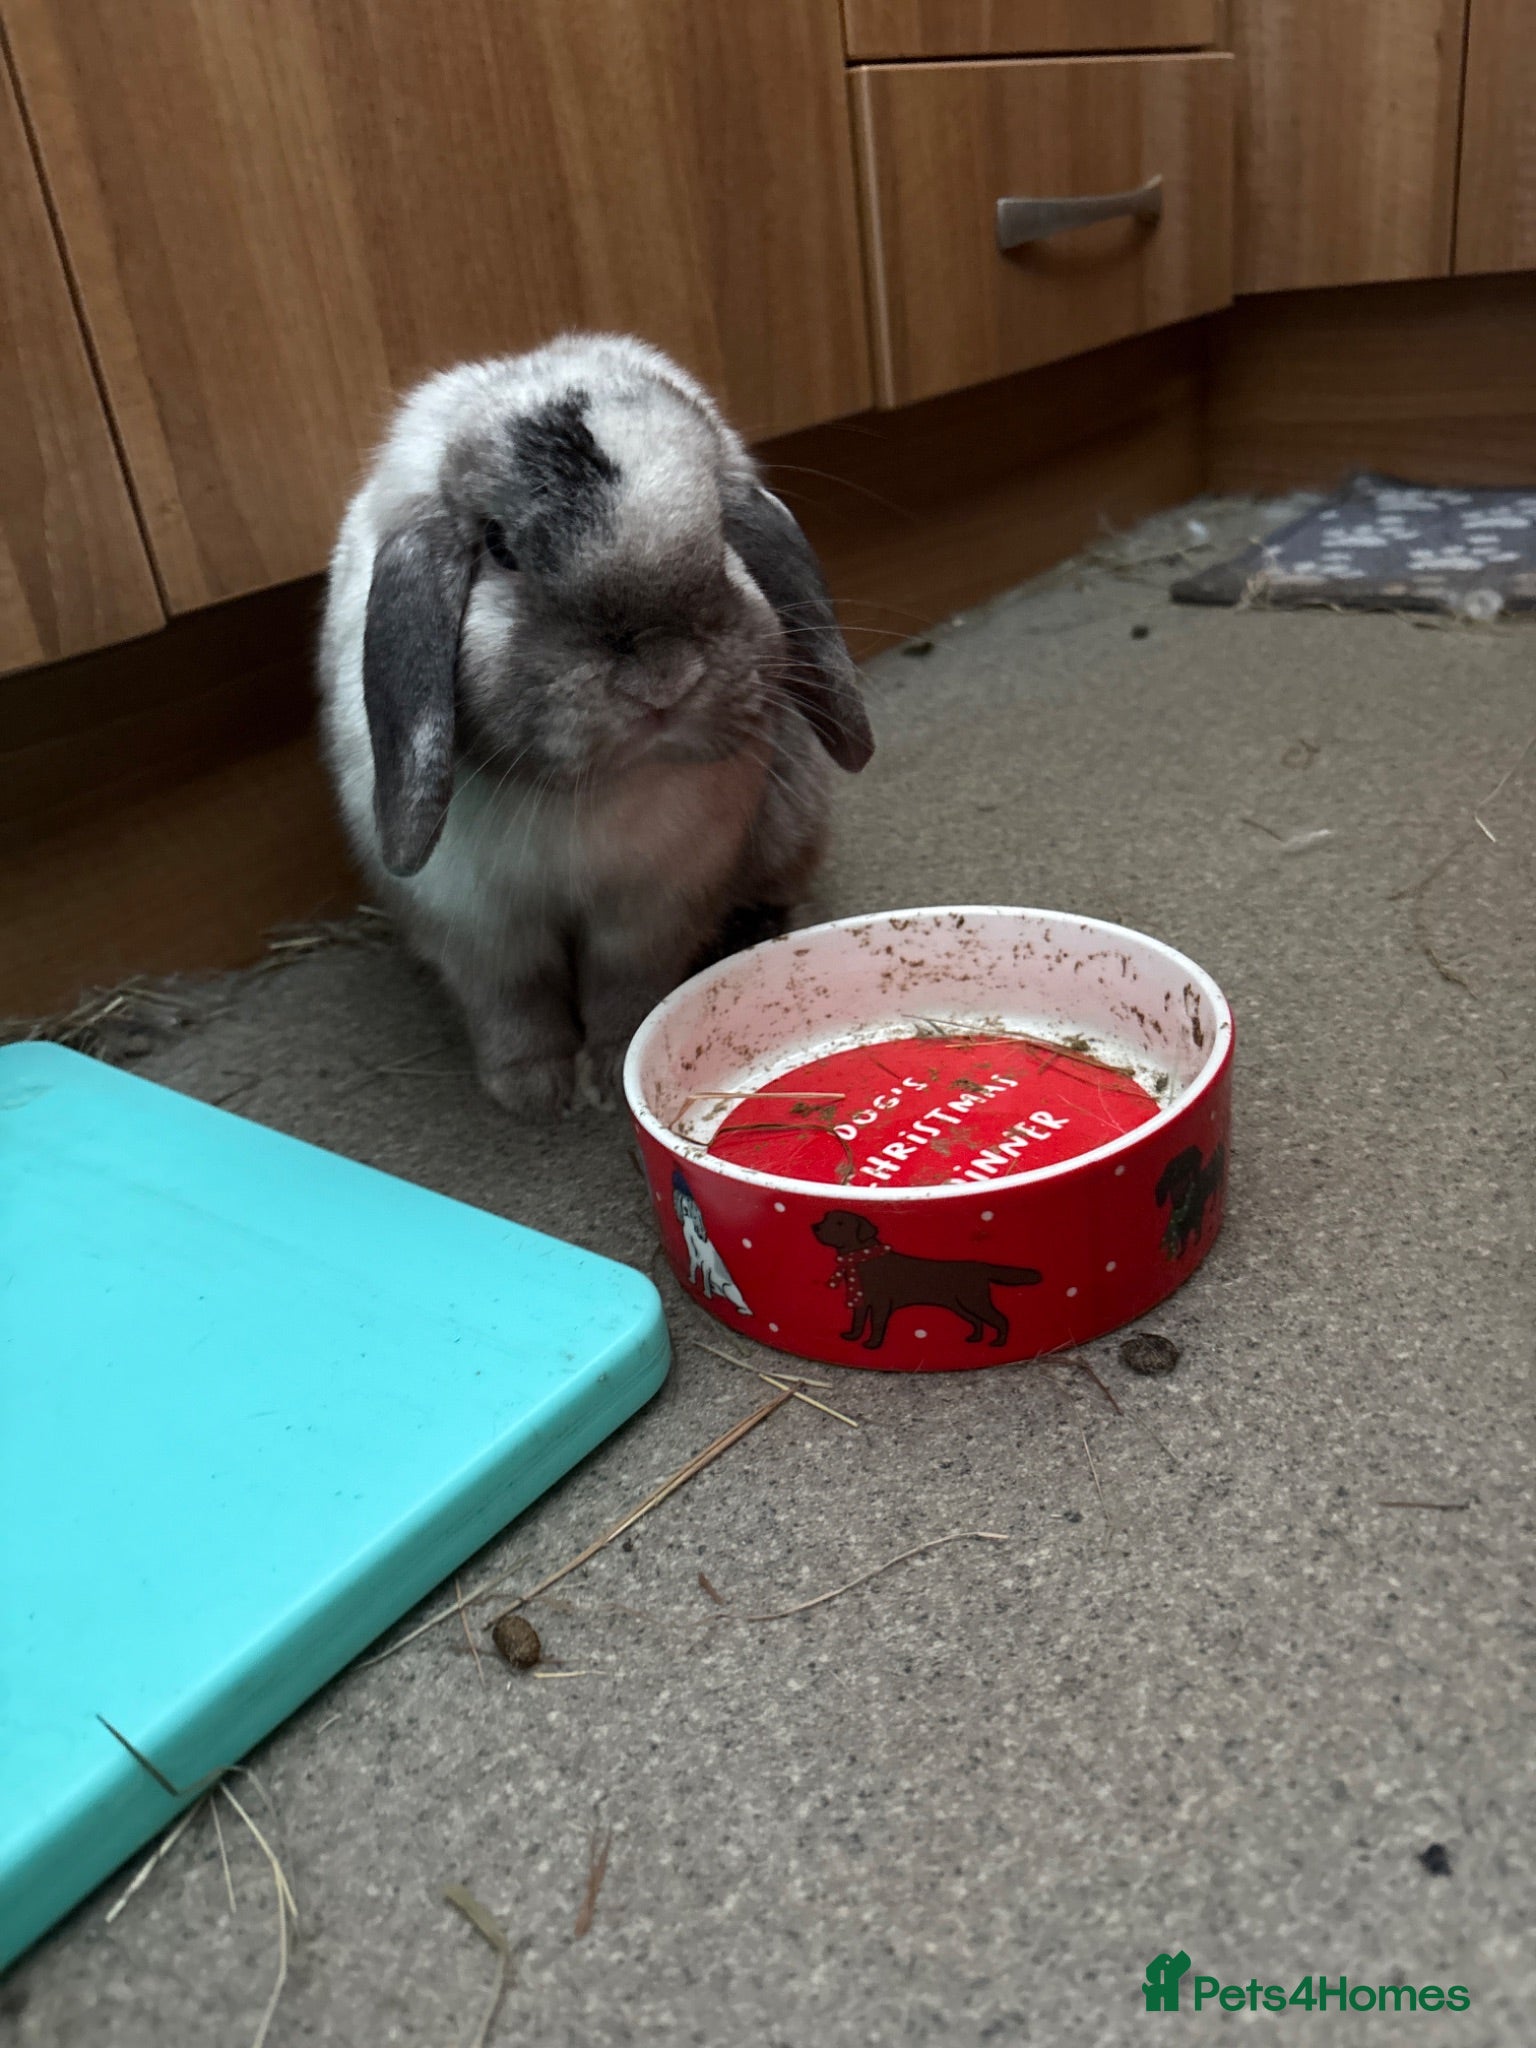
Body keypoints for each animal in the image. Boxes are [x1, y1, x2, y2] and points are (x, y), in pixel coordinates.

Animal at [318, 333, 873, 1119]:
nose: (662, 678)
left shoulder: (650, 911)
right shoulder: (479, 927)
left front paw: (609, 1077)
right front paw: (532, 1092)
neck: (591, 795)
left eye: (720, 532)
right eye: (500, 547)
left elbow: (625, 993)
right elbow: (514, 1005)